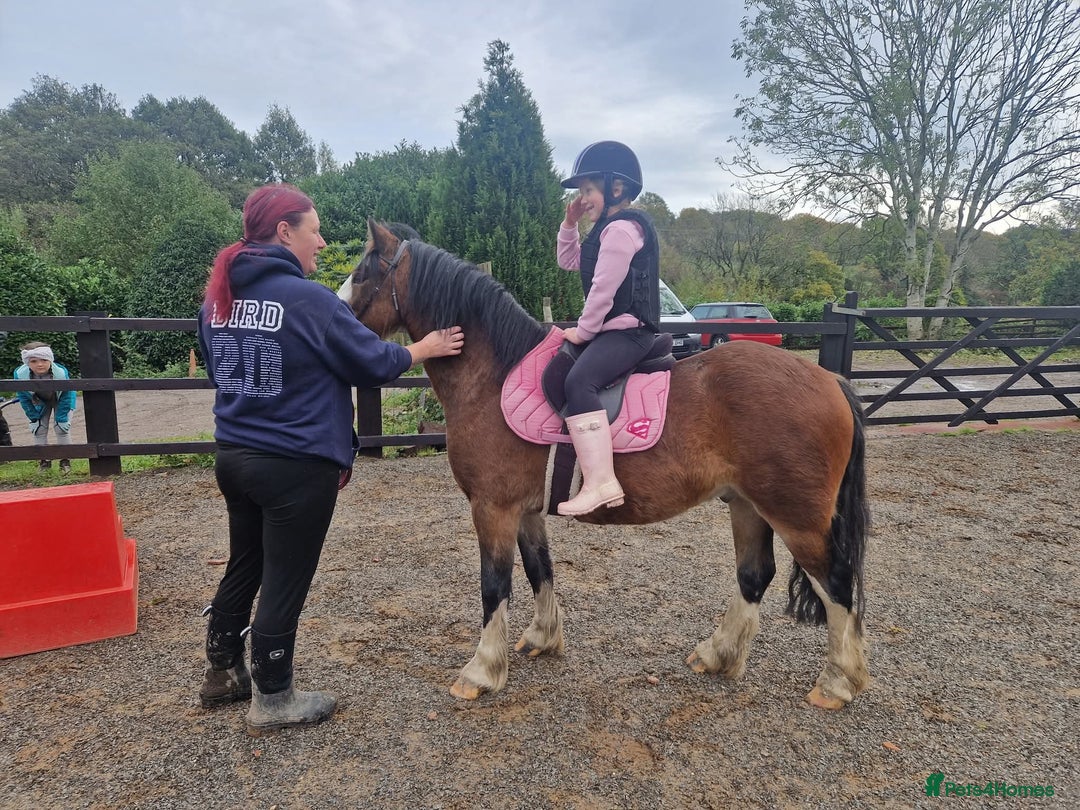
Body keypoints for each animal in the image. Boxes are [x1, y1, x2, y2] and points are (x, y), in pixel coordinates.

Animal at [345, 219, 871, 710]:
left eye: (364, 272)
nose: (339, 311)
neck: (493, 377)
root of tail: (830, 380)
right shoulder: (525, 510)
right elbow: (539, 569)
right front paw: (542, 638)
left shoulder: (493, 508)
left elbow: (494, 586)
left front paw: (481, 671)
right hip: (747, 504)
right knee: (754, 576)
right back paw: (718, 654)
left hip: (797, 518)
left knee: (837, 585)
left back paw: (837, 682)